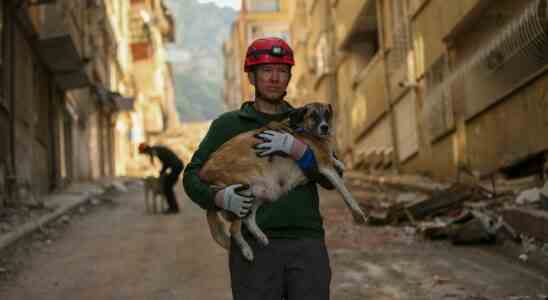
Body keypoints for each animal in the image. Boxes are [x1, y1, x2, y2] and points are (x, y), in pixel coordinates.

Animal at [198, 102, 368, 260]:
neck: (303, 129)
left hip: (263, 191)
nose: (325, 128)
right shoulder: (324, 166)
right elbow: (345, 191)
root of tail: (204, 171)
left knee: (249, 220)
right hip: (242, 191)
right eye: (313, 115)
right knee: (234, 229)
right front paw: (358, 213)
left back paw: (260, 236)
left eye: (327, 114)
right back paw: (246, 250)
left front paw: (339, 162)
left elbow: (333, 160)